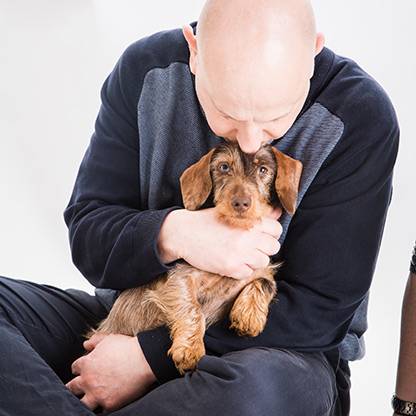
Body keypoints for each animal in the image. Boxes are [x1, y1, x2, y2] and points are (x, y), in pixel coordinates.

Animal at [87, 142, 302, 374]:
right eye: (224, 167)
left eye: (263, 169)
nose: (241, 203)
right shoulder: (180, 277)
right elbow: (194, 310)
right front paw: (189, 350)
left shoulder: (260, 268)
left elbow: (266, 283)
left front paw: (249, 317)